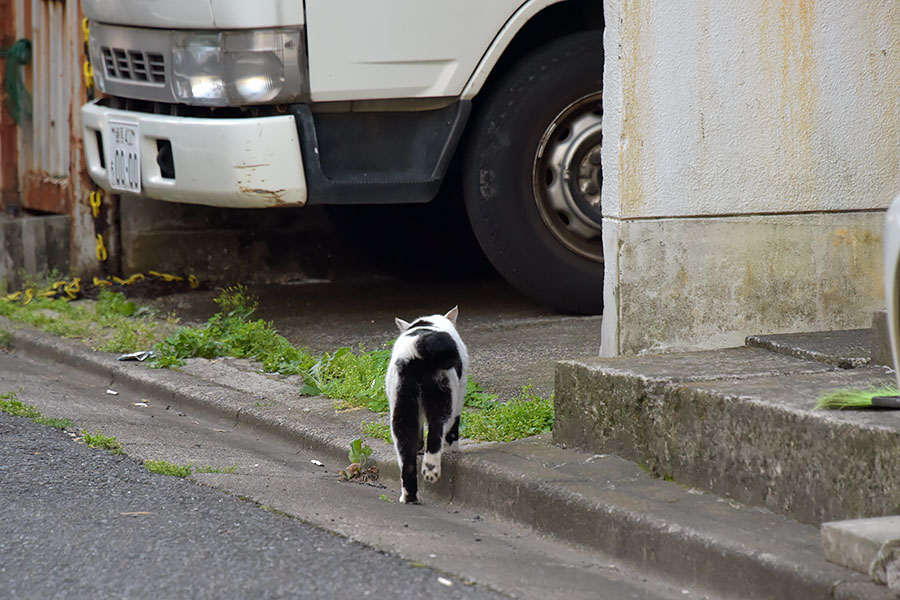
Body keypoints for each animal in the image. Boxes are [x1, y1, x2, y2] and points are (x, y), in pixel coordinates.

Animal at [384, 308, 468, 504]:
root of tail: (419, 347)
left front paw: (419, 448)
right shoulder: (460, 396)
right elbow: (453, 432)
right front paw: (454, 452)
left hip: (402, 407)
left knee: (406, 457)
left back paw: (409, 496)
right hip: (445, 399)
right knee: (437, 433)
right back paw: (431, 470)